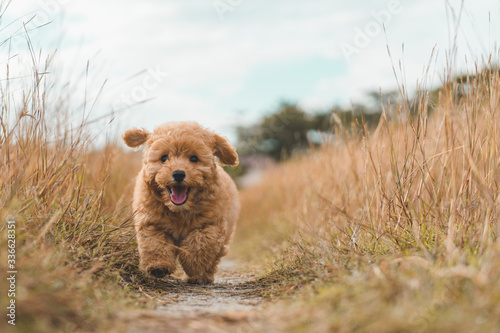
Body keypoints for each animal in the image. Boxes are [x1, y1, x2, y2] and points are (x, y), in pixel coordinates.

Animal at [121, 122, 238, 282]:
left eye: (194, 158)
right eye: (164, 158)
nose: (178, 174)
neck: (179, 210)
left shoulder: (211, 223)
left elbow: (200, 242)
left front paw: (194, 264)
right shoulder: (152, 222)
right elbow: (154, 243)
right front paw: (158, 266)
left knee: (214, 257)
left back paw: (202, 277)